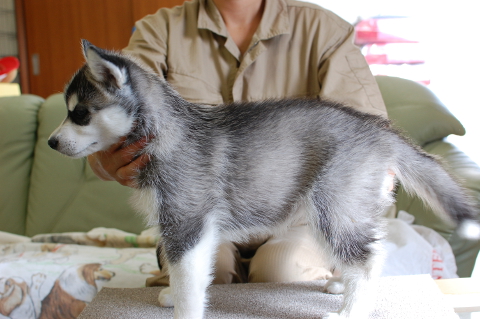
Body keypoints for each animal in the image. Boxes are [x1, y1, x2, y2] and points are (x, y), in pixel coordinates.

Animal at [47, 41, 476, 318]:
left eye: (80, 114)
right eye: (69, 112)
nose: (51, 142)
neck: (164, 131)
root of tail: (379, 129)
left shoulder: (187, 223)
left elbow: (188, 279)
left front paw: (183, 306)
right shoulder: (188, 229)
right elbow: (187, 275)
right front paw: (172, 292)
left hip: (333, 204)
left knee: (368, 258)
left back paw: (351, 311)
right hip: (338, 208)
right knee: (364, 252)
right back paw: (342, 286)